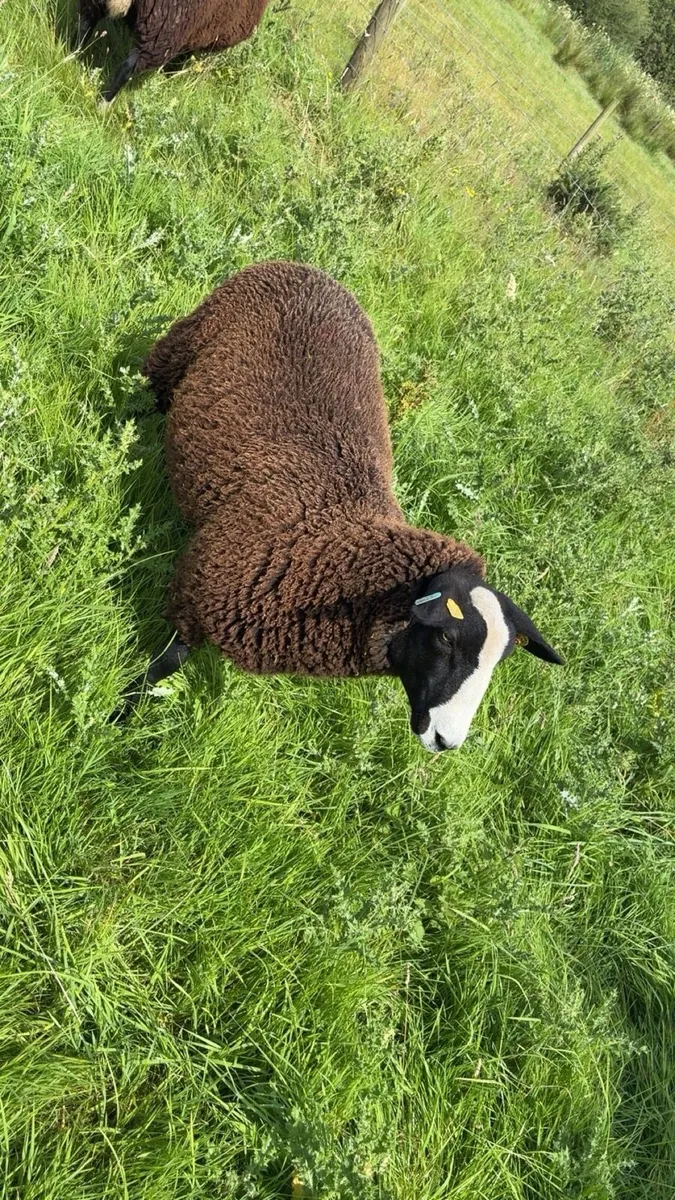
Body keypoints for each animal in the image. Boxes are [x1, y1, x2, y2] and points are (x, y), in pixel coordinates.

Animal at [76, 0, 271, 104]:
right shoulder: (194, 37)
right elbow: (178, 63)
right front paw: (168, 79)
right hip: (165, 27)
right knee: (126, 68)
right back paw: (103, 106)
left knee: (84, 26)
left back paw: (71, 57)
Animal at [116, 262, 562, 750]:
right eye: (445, 636)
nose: (447, 741)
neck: (330, 540)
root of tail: (307, 269)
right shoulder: (199, 590)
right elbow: (165, 663)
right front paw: (118, 716)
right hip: (182, 346)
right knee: (146, 391)